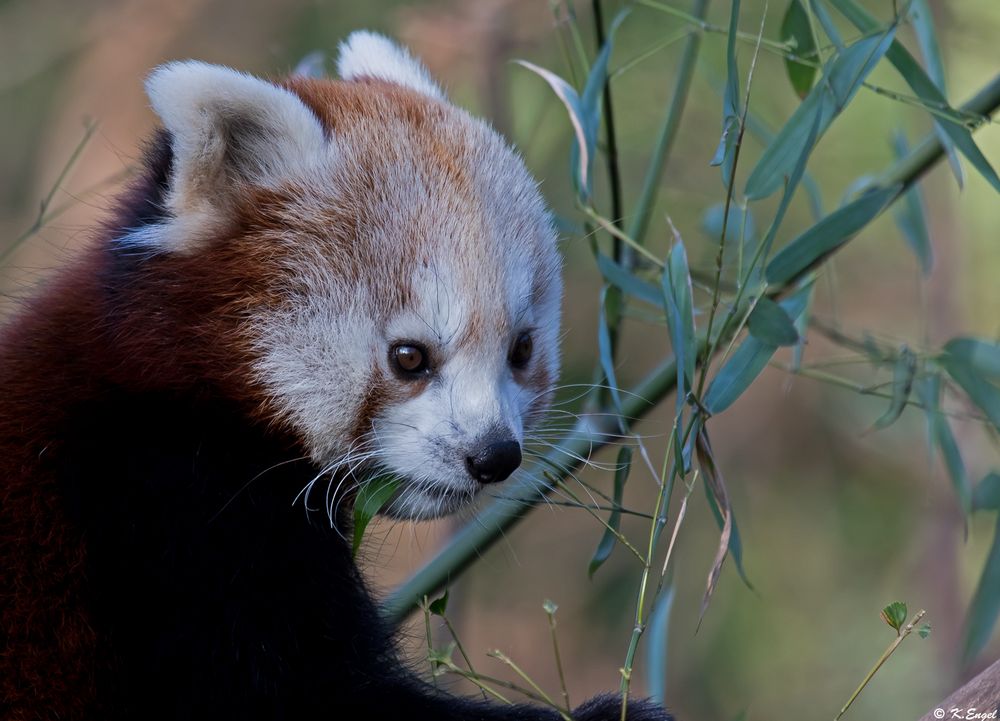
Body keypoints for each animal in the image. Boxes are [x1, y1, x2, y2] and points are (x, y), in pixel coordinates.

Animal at [1, 31, 672, 716]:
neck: (186, 391)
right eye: (409, 357)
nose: (494, 456)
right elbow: (312, 691)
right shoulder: (167, 506)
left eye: (520, 349)